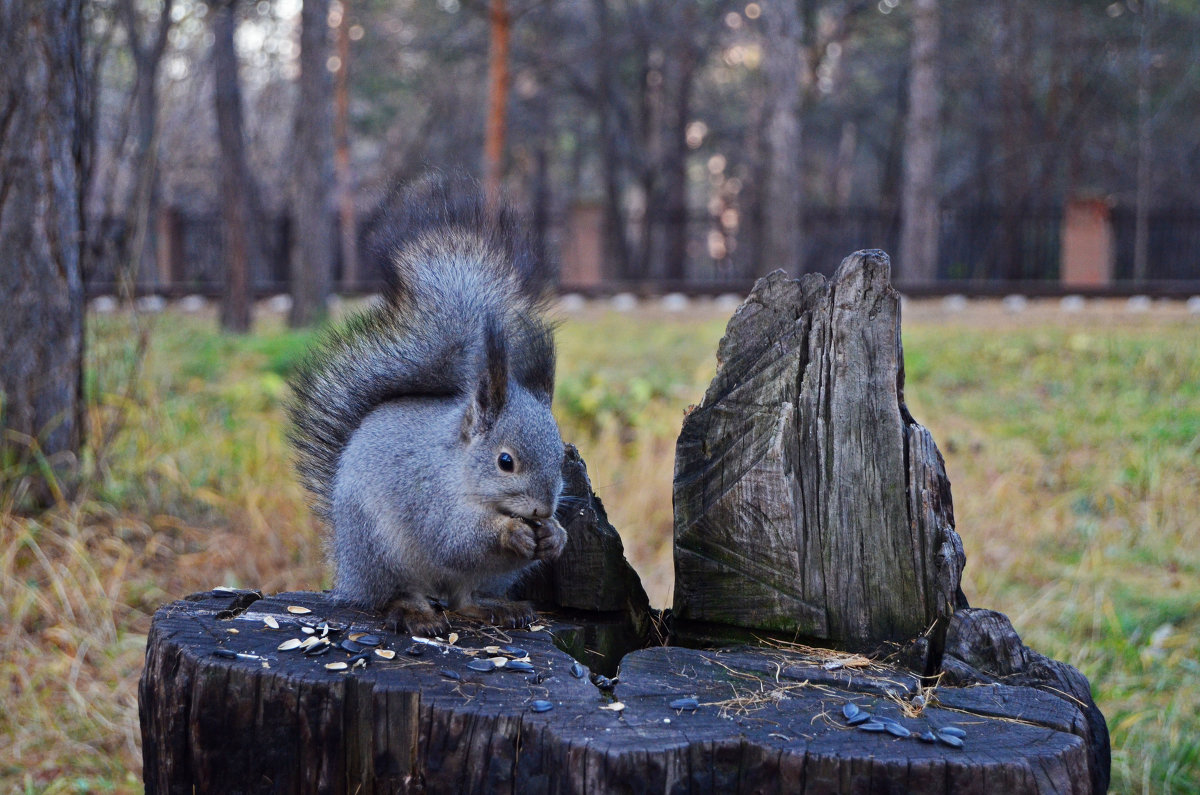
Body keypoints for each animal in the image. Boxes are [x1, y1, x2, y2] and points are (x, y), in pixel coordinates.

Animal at [291, 174, 571, 634]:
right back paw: (417, 615)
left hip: (483, 577)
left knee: (462, 598)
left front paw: (555, 535)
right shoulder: (428, 496)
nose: (542, 509)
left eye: (562, 458)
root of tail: (347, 571)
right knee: (401, 593)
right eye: (505, 462)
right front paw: (510, 533)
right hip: (381, 553)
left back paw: (495, 608)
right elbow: (454, 538)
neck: (461, 469)